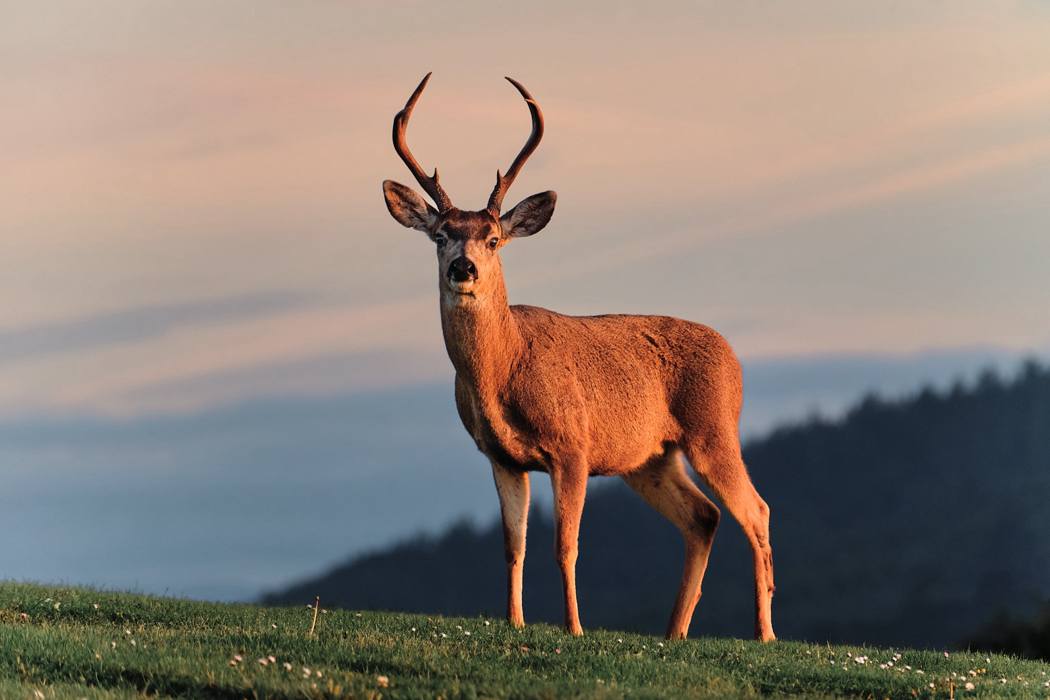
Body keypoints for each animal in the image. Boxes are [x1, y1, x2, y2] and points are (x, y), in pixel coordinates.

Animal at [382, 73, 776, 642]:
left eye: (494, 239)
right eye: (439, 236)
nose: (463, 268)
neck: (503, 370)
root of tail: (734, 357)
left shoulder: (572, 447)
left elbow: (564, 546)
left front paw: (574, 627)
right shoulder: (501, 456)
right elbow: (513, 547)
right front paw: (515, 621)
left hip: (714, 428)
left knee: (756, 510)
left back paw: (764, 632)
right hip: (650, 457)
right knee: (704, 516)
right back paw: (674, 631)